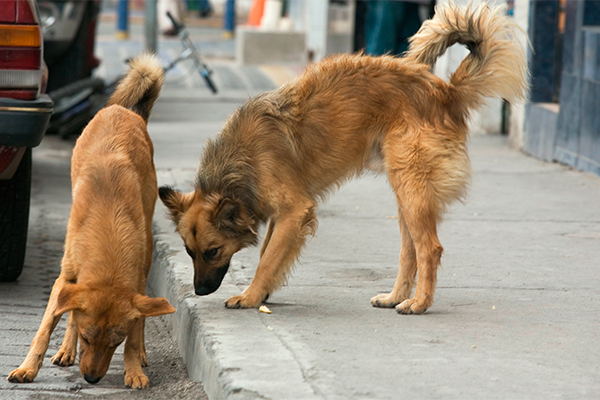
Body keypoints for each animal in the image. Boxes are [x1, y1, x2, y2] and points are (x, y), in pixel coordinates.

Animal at [8, 53, 175, 388]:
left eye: (115, 342)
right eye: (87, 338)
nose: (91, 379)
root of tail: (123, 110)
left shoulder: (136, 285)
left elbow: (137, 328)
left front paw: (133, 367)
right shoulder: (65, 281)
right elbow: (47, 327)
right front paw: (29, 367)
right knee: (69, 311)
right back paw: (64, 350)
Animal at [157, 4, 528, 314]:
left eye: (213, 251)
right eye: (189, 251)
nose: (199, 291)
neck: (240, 160)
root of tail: (445, 92)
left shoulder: (294, 211)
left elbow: (266, 258)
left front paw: (250, 296)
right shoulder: (280, 215)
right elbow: (269, 253)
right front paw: (262, 293)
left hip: (411, 186)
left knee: (430, 248)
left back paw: (419, 303)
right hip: (406, 191)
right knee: (409, 250)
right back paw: (396, 297)